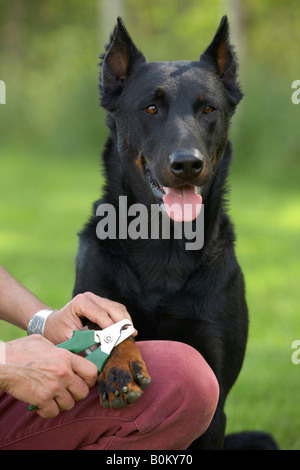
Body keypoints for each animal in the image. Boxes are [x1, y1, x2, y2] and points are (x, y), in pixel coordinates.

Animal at [72, 16, 274, 450]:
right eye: (151, 108)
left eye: (209, 108)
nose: (187, 164)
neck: (163, 243)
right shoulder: (91, 299)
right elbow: (106, 324)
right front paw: (121, 363)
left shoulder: (214, 386)